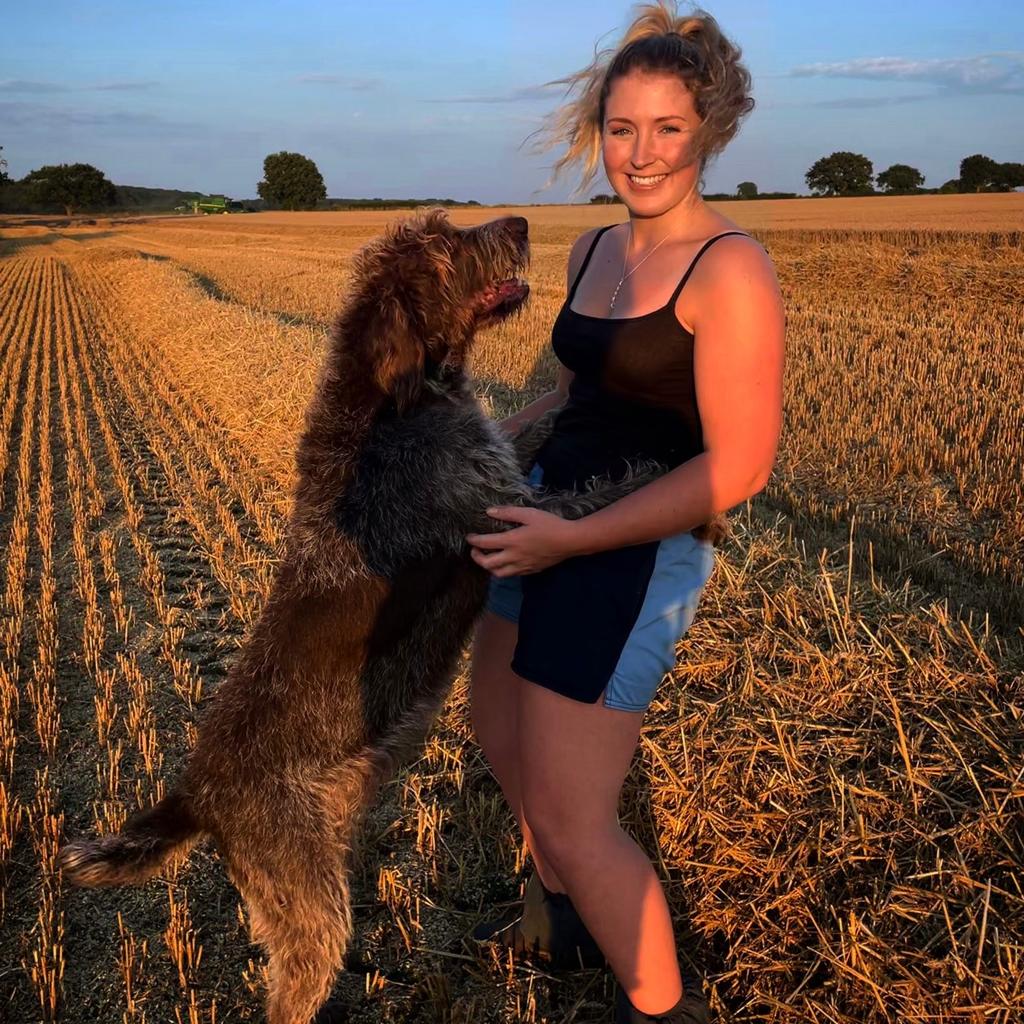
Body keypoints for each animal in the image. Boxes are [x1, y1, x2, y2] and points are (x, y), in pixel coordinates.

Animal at [59, 207, 663, 1024]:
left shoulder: (499, 464)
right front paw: (653, 470)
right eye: (443, 246)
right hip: (309, 907)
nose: (518, 222)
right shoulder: (509, 519)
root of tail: (197, 793)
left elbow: (530, 434)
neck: (396, 396)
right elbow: (592, 499)